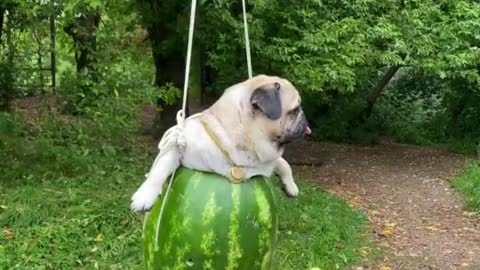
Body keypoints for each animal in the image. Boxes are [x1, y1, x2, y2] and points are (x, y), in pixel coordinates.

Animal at [131, 75, 312, 212]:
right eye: (295, 110)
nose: (305, 118)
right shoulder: (178, 146)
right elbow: (159, 170)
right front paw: (144, 197)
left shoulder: (268, 161)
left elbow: (284, 164)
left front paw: (290, 186)